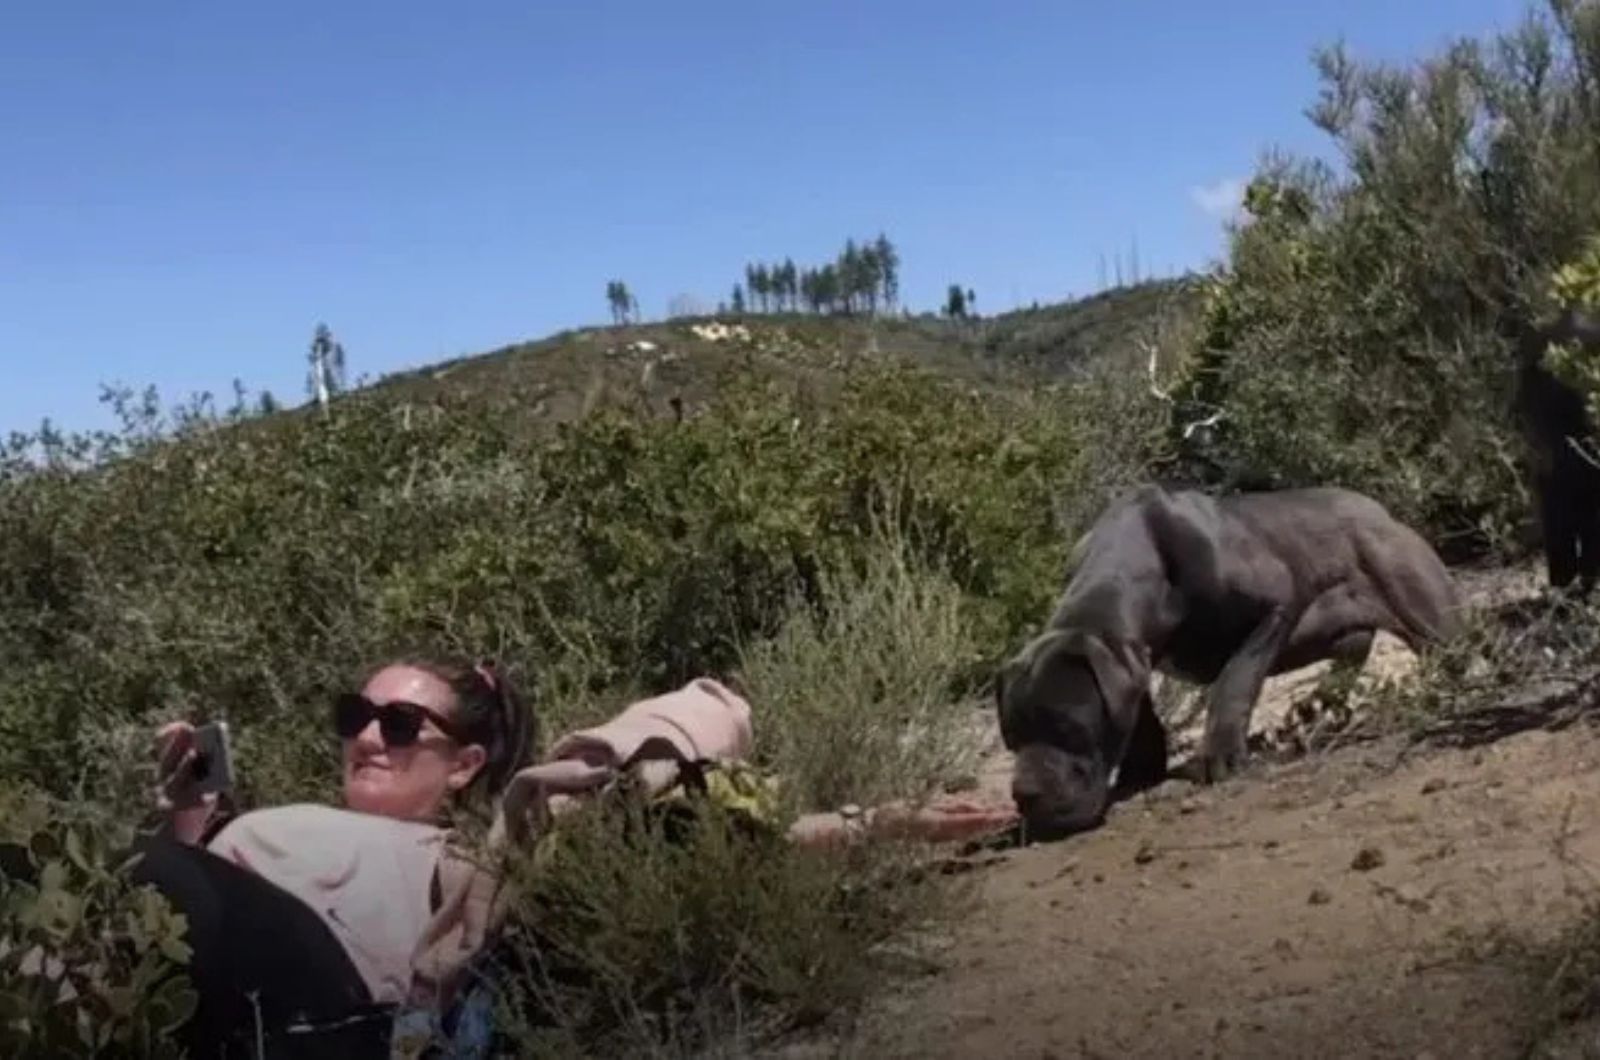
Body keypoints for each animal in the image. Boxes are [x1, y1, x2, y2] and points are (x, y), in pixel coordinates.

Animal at [998, 486, 1465, 845]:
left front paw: (1221, 756)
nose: (1025, 794)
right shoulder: (1134, 658)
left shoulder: (1274, 608)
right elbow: (1142, 716)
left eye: (1068, 729)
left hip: (1426, 612)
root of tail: (1379, 510)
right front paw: (1141, 771)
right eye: (1011, 739)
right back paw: (1319, 713)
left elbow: (1235, 682)